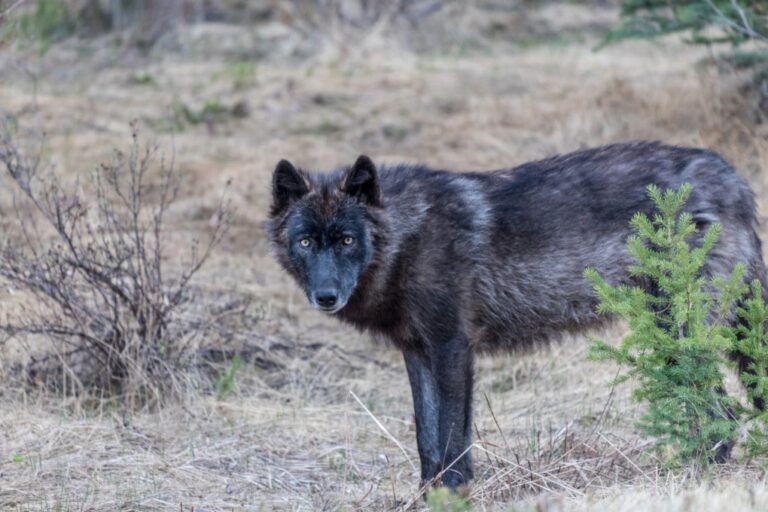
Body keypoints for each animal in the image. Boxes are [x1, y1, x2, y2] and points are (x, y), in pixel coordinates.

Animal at [266, 142, 767, 490]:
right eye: (306, 242)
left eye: (347, 240)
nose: (326, 296)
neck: (407, 237)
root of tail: (732, 178)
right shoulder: (418, 352)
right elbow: (427, 438)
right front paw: (426, 495)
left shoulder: (453, 348)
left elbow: (452, 439)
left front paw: (454, 494)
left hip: (677, 331)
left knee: (721, 409)